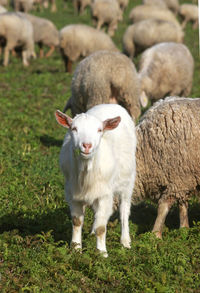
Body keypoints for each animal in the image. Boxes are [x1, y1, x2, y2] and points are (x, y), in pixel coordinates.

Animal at [54, 102, 137, 256]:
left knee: (124, 210)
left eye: (99, 130)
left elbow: (101, 227)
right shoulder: (72, 193)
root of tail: (111, 104)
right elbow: (77, 221)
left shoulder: (105, 195)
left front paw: (102, 253)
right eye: (74, 128)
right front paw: (76, 248)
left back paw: (125, 241)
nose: (87, 145)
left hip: (128, 180)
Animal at [134, 97, 200, 238]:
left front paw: (155, 235)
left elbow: (163, 207)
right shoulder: (182, 177)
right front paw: (184, 229)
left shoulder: (177, 176)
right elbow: (182, 205)